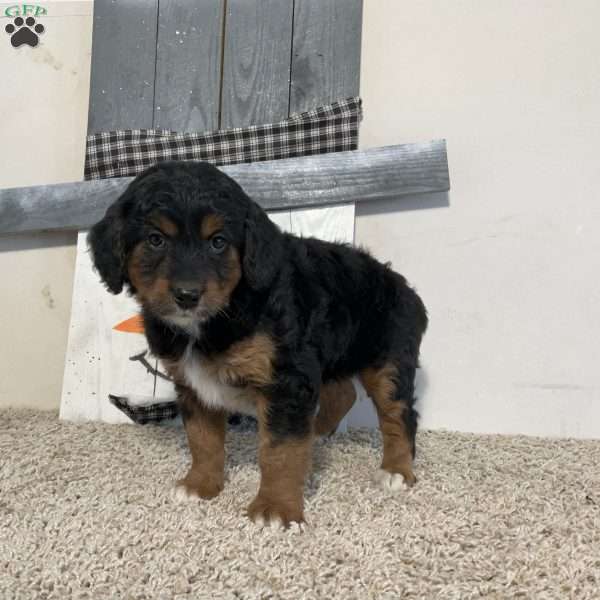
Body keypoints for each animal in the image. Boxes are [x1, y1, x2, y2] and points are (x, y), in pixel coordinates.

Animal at [88, 162, 426, 528]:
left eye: (218, 242)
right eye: (155, 239)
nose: (188, 295)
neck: (224, 311)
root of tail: (403, 286)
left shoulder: (286, 379)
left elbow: (280, 449)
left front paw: (275, 508)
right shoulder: (193, 384)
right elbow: (202, 439)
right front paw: (200, 485)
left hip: (388, 362)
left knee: (399, 415)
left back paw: (395, 470)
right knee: (343, 394)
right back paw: (316, 436)